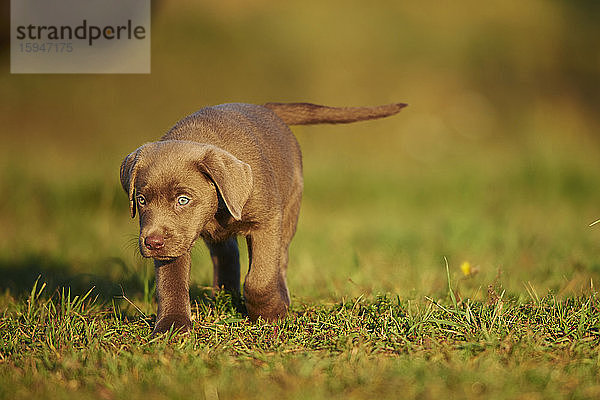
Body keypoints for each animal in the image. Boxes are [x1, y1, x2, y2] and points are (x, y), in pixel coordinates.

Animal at [119, 102, 406, 334]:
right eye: (141, 200)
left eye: (183, 200)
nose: (152, 242)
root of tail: (266, 108)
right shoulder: (175, 243)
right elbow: (171, 282)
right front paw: (172, 326)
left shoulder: (266, 223)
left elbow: (260, 277)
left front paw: (270, 314)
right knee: (227, 254)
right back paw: (224, 297)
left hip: (290, 209)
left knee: (280, 260)